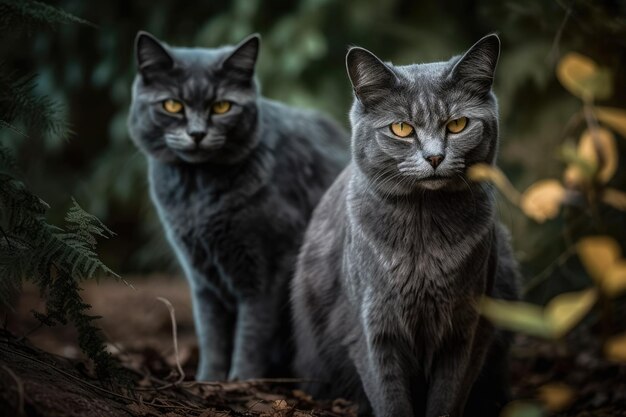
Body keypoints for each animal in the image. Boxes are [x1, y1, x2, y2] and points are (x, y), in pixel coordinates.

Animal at [127, 30, 348, 378]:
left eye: (222, 107)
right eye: (173, 105)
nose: (197, 134)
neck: (198, 194)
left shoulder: (268, 268)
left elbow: (252, 330)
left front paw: (241, 379)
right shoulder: (200, 276)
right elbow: (211, 333)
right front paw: (208, 380)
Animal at [290, 35, 520, 416]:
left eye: (457, 125)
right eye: (402, 129)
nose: (435, 157)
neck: (425, 232)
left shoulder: (469, 328)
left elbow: (447, 398)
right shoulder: (370, 328)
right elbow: (390, 398)